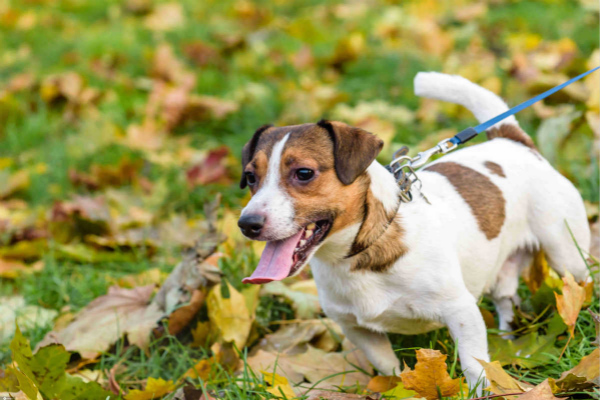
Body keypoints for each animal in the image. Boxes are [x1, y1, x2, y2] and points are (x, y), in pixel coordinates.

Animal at [236, 72, 592, 388]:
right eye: (251, 177)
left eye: (304, 173)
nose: (246, 224)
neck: (360, 254)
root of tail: (512, 142)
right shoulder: (357, 329)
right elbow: (388, 367)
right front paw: (398, 386)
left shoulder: (460, 311)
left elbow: (473, 366)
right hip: (502, 270)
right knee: (506, 301)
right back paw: (509, 341)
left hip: (567, 256)